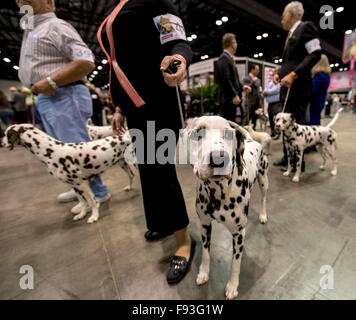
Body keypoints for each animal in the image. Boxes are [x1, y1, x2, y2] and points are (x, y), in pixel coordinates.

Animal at [0, 124, 135, 224]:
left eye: (7, 134)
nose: (0, 142)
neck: (51, 151)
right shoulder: (74, 186)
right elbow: (82, 202)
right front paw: (82, 214)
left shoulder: (82, 184)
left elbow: (92, 201)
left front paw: (94, 216)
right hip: (123, 164)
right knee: (131, 176)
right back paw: (130, 187)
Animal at [182, 115, 268, 300]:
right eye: (198, 132)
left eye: (229, 134)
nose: (218, 157)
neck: (218, 193)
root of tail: (253, 140)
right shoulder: (204, 225)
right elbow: (206, 254)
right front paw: (203, 273)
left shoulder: (238, 232)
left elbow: (235, 264)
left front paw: (232, 286)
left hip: (264, 181)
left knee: (263, 198)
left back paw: (263, 215)